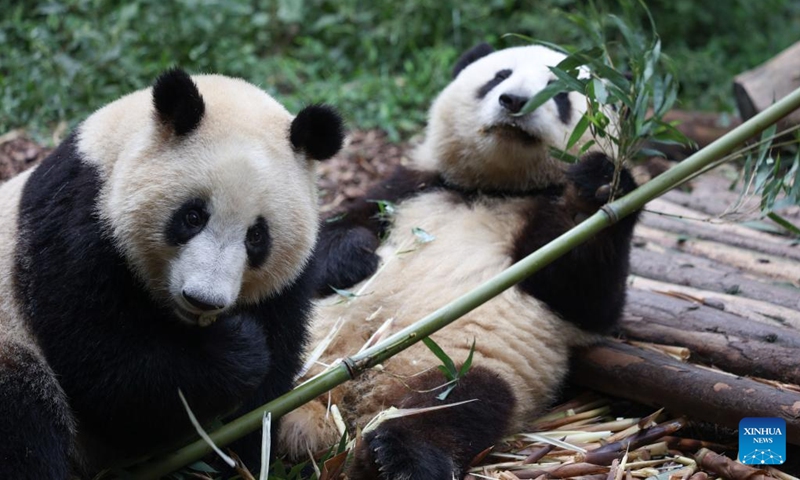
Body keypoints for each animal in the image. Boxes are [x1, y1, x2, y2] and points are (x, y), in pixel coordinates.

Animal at [0, 68, 344, 478]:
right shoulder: (75, 227)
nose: (203, 299)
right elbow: (105, 367)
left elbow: (265, 388)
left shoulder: (287, 287)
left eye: (257, 236)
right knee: (21, 414)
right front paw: (237, 348)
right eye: (193, 216)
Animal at [280, 43, 640, 479]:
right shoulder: (408, 187)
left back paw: (398, 456)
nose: (514, 101)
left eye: (560, 93)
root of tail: (344, 398)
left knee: (460, 403)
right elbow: (321, 237)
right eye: (499, 76)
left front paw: (600, 185)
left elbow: (589, 295)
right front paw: (353, 256)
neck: (496, 189)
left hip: (458, 362)